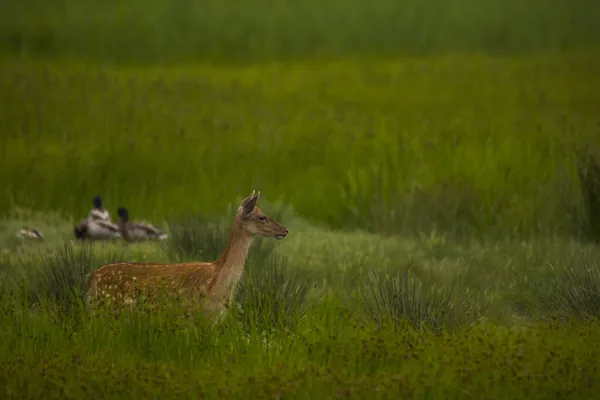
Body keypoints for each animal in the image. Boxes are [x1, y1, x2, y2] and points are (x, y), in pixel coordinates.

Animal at [86, 192, 288, 320]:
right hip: (105, 306)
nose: (285, 230)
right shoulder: (197, 314)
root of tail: (92, 278)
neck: (219, 285)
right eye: (261, 217)